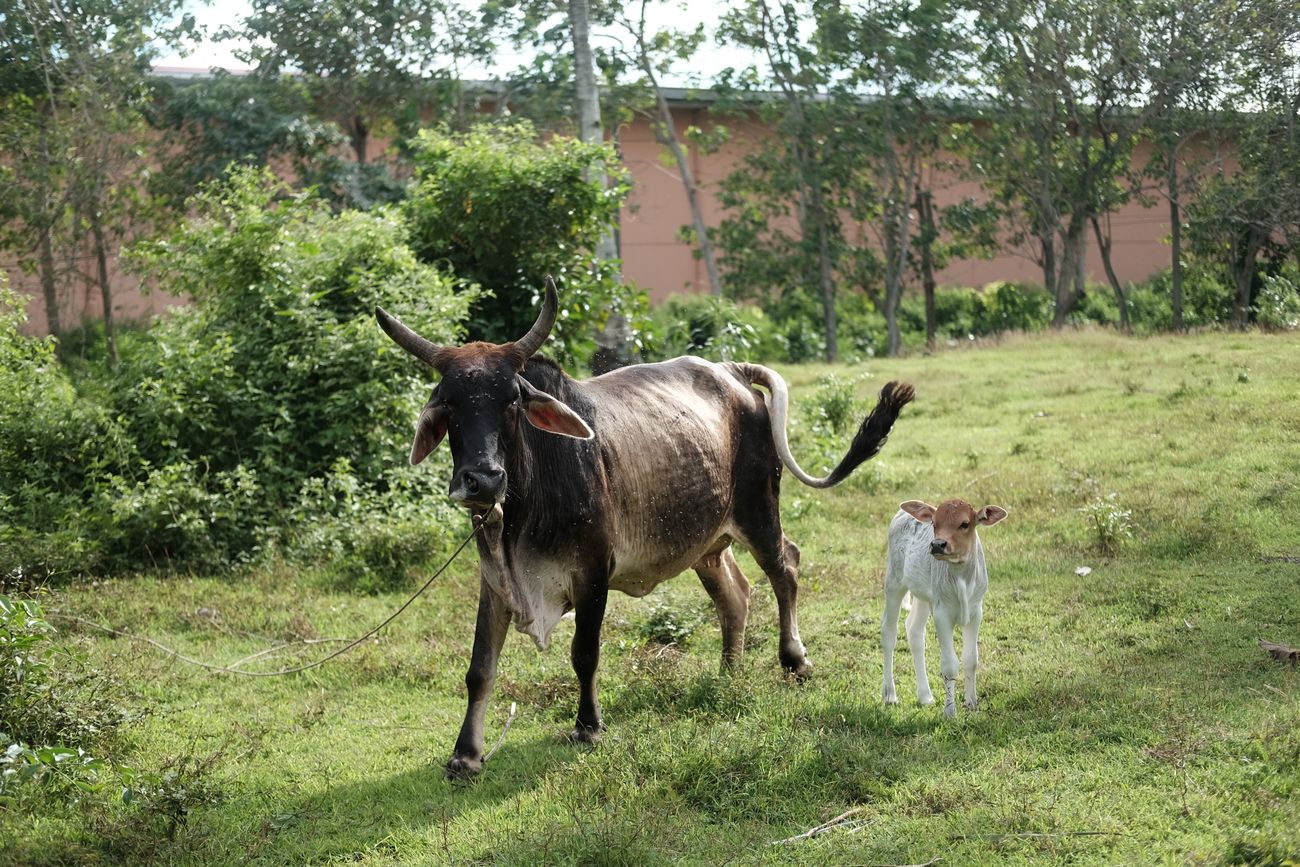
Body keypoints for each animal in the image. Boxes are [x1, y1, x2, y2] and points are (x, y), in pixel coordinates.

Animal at [376, 281, 915, 777]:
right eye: (448, 404)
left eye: (511, 401)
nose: (483, 479)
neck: (525, 506)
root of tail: (731, 370)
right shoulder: (495, 581)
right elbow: (480, 669)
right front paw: (465, 755)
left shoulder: (593, 572)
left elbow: (584, 653)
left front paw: (588, 726)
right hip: (706, 542)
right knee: (735, 594)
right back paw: (729, 671)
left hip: (760, 510)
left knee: (786, 567)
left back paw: (794, 659)